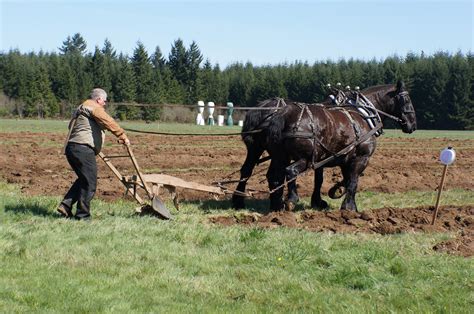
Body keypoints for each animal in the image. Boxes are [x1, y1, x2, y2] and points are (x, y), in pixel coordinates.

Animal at [266, 82, 418, 212]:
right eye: (407, 99)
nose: (413, 124)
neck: (363, 114)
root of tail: (285, 113)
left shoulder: (344, 159)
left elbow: (340, 180)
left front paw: (334, 193)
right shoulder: (361, 158)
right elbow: (353, 182)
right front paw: (348, 207)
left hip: (280, 156)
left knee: (275, 177)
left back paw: (277, 205)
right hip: (305, 159)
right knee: (290, 171)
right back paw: (291, 200)